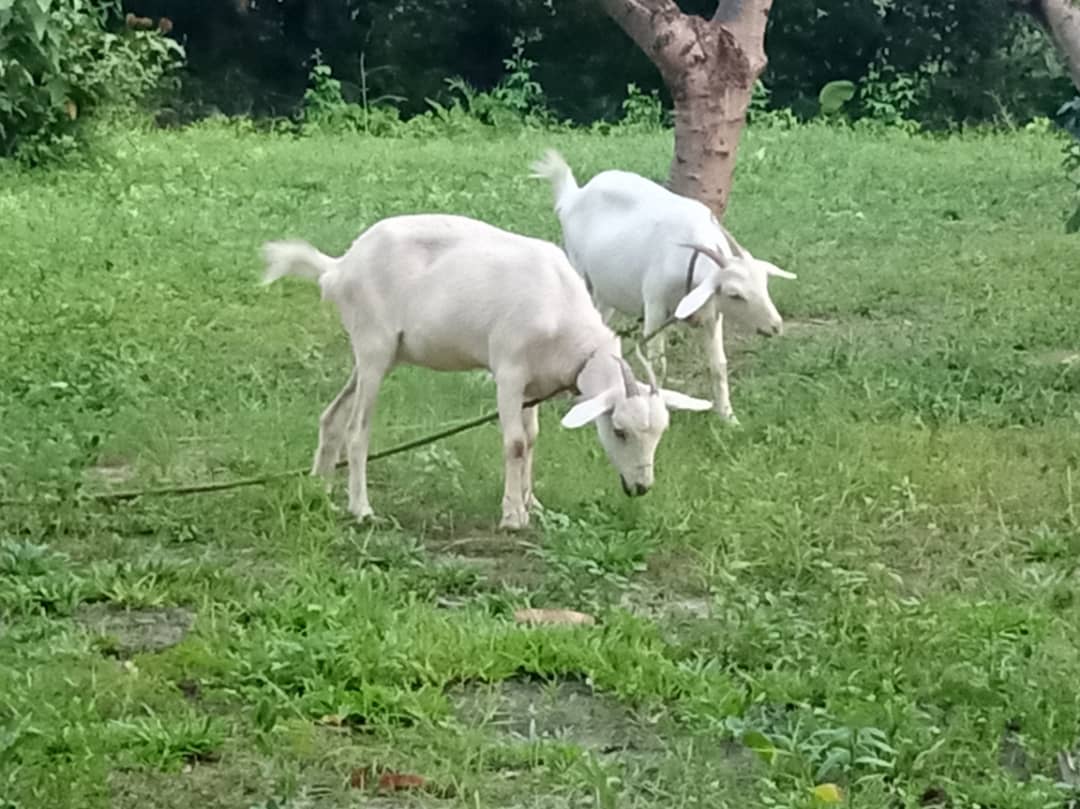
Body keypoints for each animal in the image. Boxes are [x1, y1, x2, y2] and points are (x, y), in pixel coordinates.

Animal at [260, 213, 712, 530]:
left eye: (660, 433)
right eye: (618, 430)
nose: (641, 488)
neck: (561, 312)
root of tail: (338, 267)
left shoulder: (535, 384)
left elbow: (533, 438)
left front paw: (532, 504)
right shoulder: (509, 372)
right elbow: (515, 443)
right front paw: (512, 516)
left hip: (378, 353)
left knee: (332, 415)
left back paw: (317, 488)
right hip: (374, 346)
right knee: (358, 429)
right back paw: (361, 509)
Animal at [530, 150, 797, 425]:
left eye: (765, 283)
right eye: (735, 294)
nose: (775, 326)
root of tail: (573, 196)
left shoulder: (712, 315)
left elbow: (719, 365)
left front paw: (728, 417)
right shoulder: (655, 304)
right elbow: (657, 364)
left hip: (605, 293)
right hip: (579, 273)